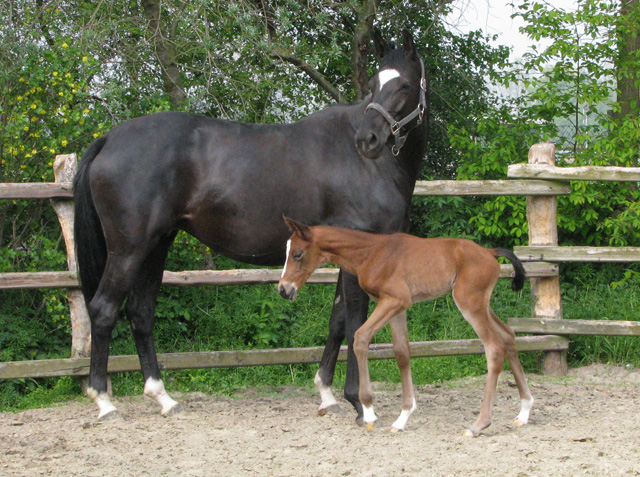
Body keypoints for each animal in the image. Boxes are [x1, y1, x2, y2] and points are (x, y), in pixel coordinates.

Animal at [72, 27, 428, 422]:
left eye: (404, 84)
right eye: (375, 84)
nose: (368, 140)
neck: (369, 165)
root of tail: (110, 139)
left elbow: (337, 320)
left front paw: (326, 393)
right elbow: (355, 320)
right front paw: (359, 402)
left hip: (157, 244)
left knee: (140, 313)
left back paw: (162, 397)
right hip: (129, 249)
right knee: (104, 310)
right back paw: (104, 401)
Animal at [280, 217, 536, 436]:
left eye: (298, 254)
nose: (284, 289)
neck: (370, 252)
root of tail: (490, 253)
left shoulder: (395, 300)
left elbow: (361, 338)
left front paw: (369, 413)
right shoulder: (397, 307)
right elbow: (402, 353)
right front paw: (402, 418)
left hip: (469, 303)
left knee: (494, 346)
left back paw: (478, 425)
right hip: (482, 304)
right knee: (508, 335)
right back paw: (524, 412)